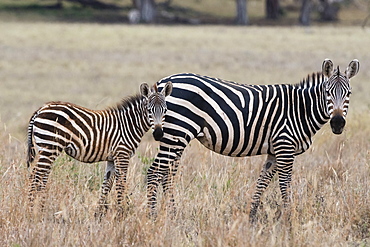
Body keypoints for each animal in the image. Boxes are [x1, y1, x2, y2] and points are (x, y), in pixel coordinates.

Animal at [28, 81, 173, 214]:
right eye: (149, 110)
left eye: (165, 110)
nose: (159, 134)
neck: (129, 125)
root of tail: (40, 109)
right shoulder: (122, 154)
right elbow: (120, 184)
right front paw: (121, 213)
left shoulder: (112, 158)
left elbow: (107, 185)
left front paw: (99, 213)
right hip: (50, 147)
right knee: (35, 177)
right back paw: (32, 211)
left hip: (47, 150)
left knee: (41, 177)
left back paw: (40, 208)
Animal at [147, 58, 358, 221]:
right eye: (327, 93)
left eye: (349, 94)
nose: (337, 123)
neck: (300, 109)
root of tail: (162, 82)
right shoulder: (285, 146)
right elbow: (285, 184)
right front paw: (290, 219)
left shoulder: (274, 151)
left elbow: (263, 182)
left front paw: (252, 216)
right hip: (177, 132)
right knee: (154, 172)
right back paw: (152, 216)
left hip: (177, 137)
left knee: (167, 174)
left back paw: (173, 215)